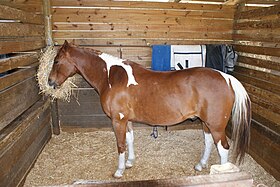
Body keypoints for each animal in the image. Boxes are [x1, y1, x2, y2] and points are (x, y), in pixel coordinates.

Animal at [48, 41, 252, 178]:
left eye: (56, 61)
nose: (50, 82)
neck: (111, 76)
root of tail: (226, 77)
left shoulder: (117, 120)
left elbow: (120, 145)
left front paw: (119, 171)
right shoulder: (126, 120)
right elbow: (130, 140)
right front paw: (130, 162)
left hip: (216, 125)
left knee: (223, 148)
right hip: (206, 123)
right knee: (209, 142)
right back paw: (200, 165)